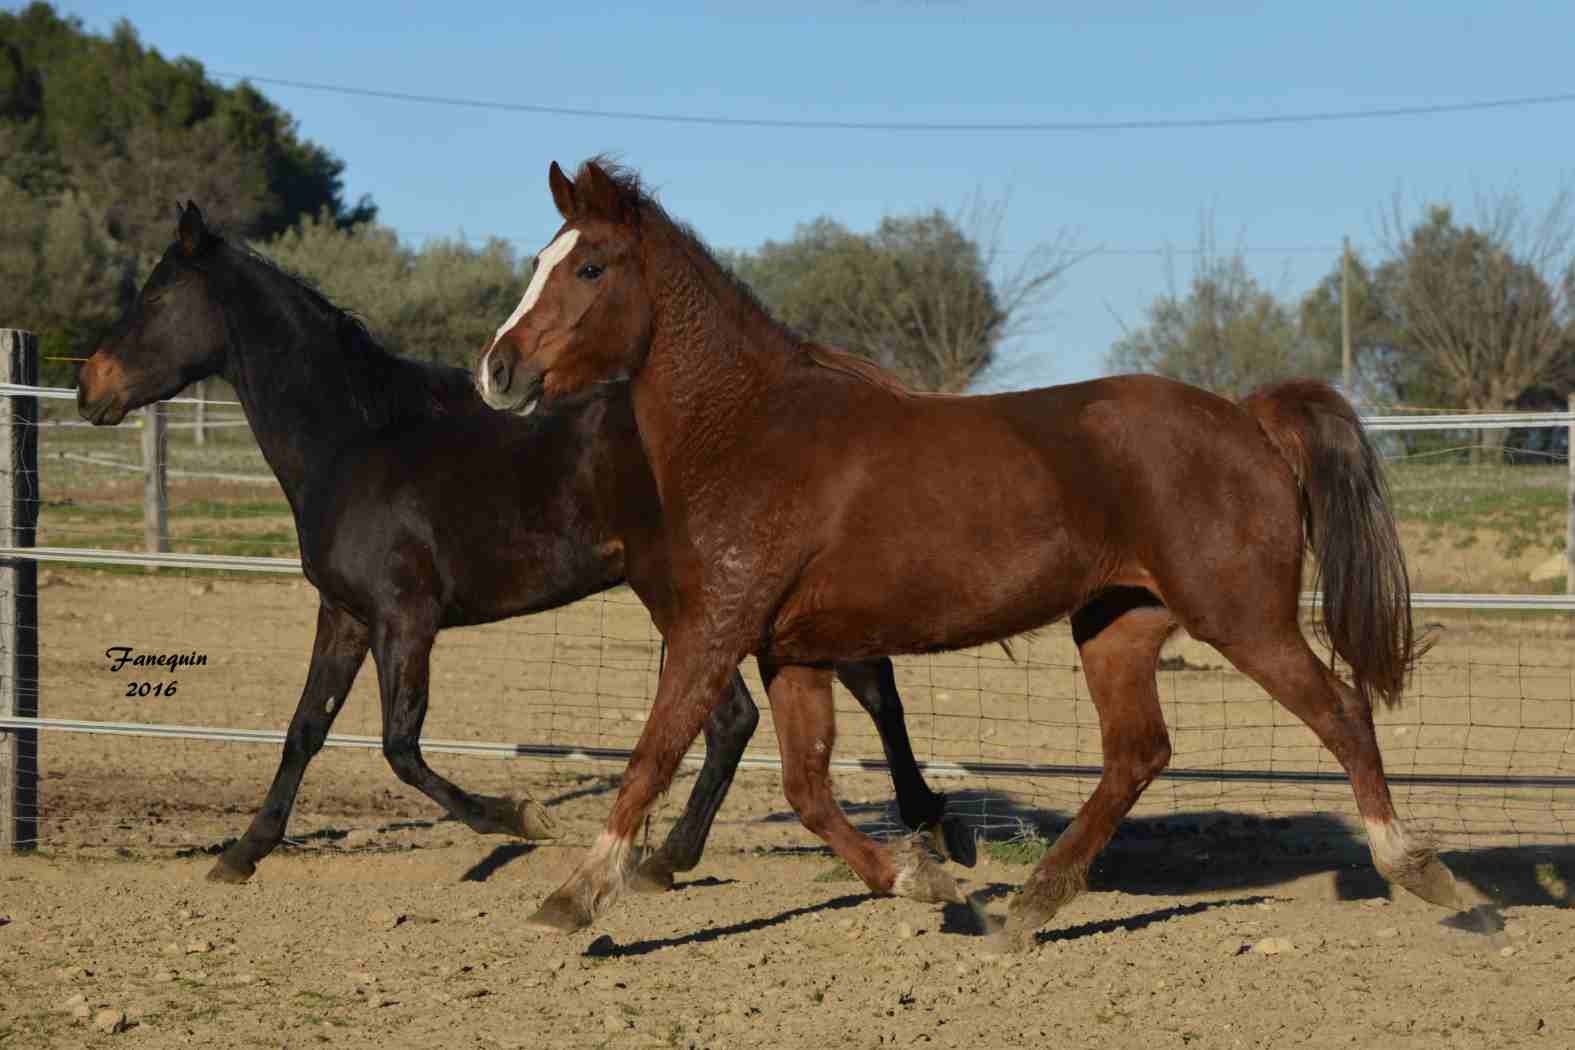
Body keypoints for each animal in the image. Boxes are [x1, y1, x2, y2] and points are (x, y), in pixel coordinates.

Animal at [76, 203, 970, 887]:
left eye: (155, 295)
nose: (90, 387)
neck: (359, 437)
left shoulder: (407, 617)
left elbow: (400, 745)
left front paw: (518, 818)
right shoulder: (347, 615)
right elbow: (305, 730)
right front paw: (242, 853)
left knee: (769, 710)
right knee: (824, 695)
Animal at [478, 160, 1461, 950]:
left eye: (590, 266)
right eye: (538, 262)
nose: (498, 370)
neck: (750, 433)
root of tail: (1248, 418)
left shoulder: (713, 631)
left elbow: (653, 755)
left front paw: (573, 898)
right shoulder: (789, 650)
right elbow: (805, 786)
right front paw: (920, 879)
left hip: (1240, 616)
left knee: (1341, 712)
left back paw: (1423, 874)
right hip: (1117, 624)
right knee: (1136, 754)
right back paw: (1026, 908)